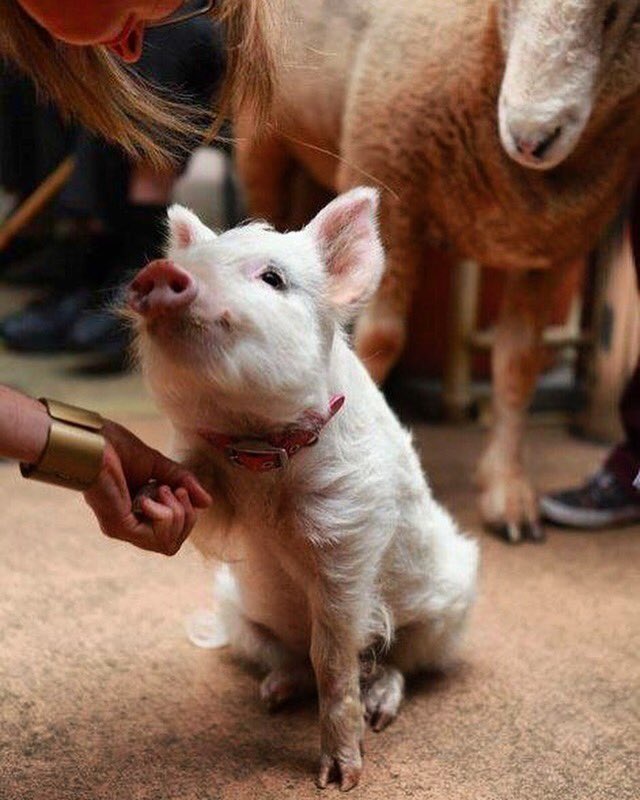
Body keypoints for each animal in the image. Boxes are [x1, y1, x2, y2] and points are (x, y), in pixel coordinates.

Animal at [125, 188, 479, 791]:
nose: (159, 272)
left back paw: (379, 707)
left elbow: (334, 661)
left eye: (272, 277)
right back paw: (272, 695)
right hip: (238, 612)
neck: (261, 451)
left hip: (448, 613)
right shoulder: (221, 479)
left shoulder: (347, 531)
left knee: (397, 663)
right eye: (195, 258)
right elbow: (198, 486)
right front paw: (157, 500)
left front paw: (339, 780)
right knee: (286, 659)